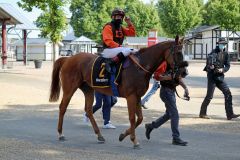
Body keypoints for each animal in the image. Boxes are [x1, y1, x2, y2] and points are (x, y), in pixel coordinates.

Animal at [48, 36, 184, 149]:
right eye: (178, 53)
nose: (183, 72)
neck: (140, 66)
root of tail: (68, 59)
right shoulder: (131, 96)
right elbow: (132, 118)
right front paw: (134, 141)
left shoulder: (138, 97)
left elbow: (140, 118)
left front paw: (123, 135)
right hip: (69, 88)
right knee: (63, 107)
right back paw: (60, 134)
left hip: (88, 89)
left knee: (89, 110)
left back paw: (99, 135)